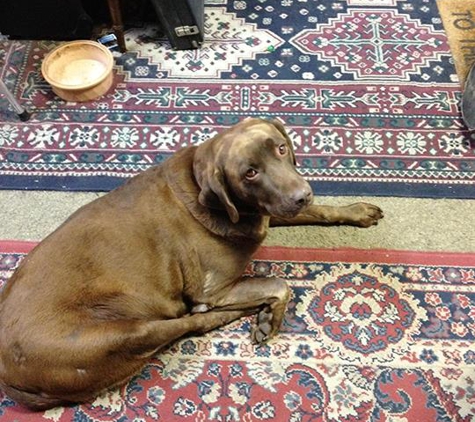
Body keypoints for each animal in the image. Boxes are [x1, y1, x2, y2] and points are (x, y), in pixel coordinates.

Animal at [0, 118, 384, 408]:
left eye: (280, 148)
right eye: (250, 173)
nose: (301, 194)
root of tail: (8, 377)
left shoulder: (266, 213)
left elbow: (318, 211)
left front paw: (356, 211)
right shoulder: (214, 288)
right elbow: (279, 283)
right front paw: (269, 319)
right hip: (120, 334)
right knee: (191, 323)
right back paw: (233, 314)